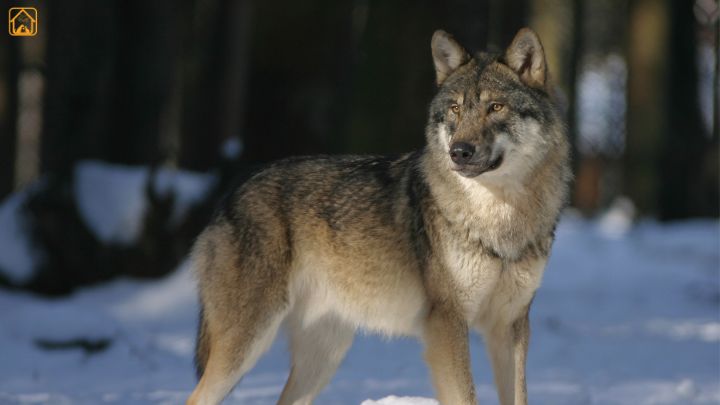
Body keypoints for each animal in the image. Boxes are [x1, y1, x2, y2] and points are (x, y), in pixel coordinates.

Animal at [187, 27, 571, 405]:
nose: (458, 152)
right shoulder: (447, 323)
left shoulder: (510, 326)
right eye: (455, 110)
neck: (500, 218)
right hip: (247, 344)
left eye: (496, 107)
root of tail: (233, 191)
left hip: (324, 356)